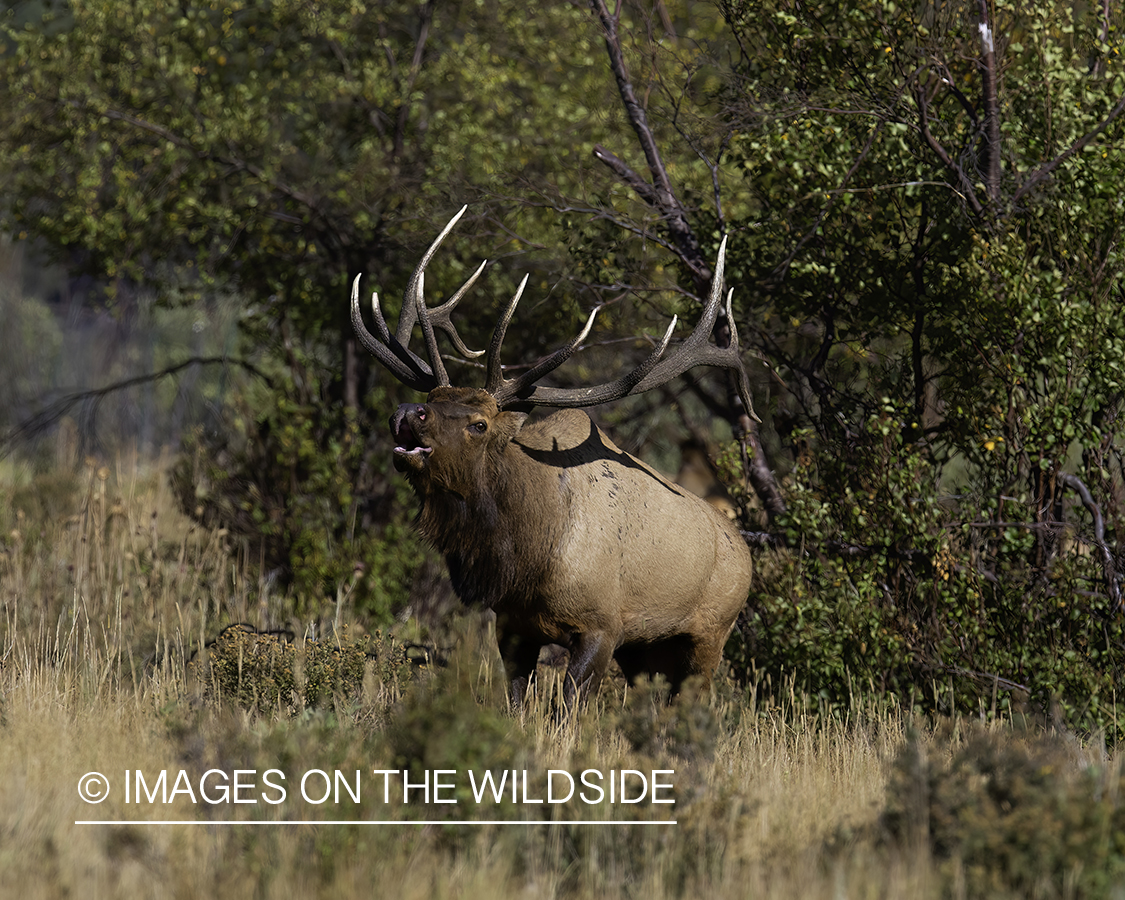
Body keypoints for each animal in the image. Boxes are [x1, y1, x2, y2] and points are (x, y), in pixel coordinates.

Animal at [351, 207, 756, 706]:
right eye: (432, 395)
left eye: (479, 424)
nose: (408, 412)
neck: (528, 554)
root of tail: (745, 550)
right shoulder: (512, 626)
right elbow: (515, 702)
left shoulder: (602, 626)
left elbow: (569, 707)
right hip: (647, 651)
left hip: (709, 635)